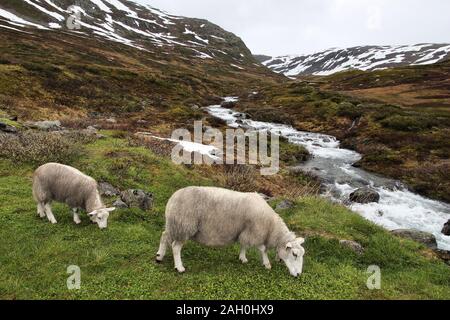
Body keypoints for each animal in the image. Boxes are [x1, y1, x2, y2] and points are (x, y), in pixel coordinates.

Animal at [156, 186, 306, 276]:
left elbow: (244, 244)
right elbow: (262, 249)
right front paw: (267, 263)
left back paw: (159, 256)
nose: (298, 275)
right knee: (176, 247)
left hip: (173, 225)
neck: (271, 227)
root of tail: (172, 199)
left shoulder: (245, 231)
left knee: (164, 236)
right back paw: (179, 267)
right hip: (184, 226)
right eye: (294, 254)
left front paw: (243, 258)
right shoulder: (255, 231)